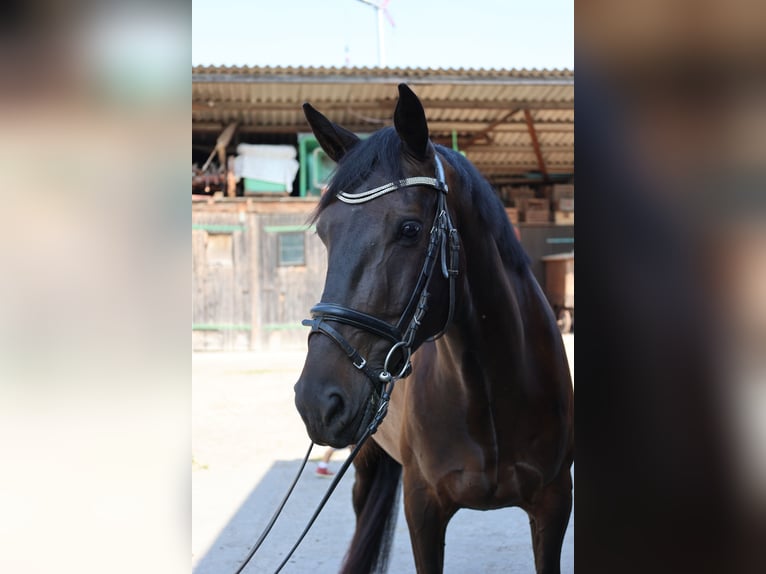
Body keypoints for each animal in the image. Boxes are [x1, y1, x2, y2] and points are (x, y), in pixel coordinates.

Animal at [294, 83, 576, 572]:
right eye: (325, 235)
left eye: (409, 229)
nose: (315, 402)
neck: (488, 392)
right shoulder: (423, 510)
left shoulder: (554, 506)